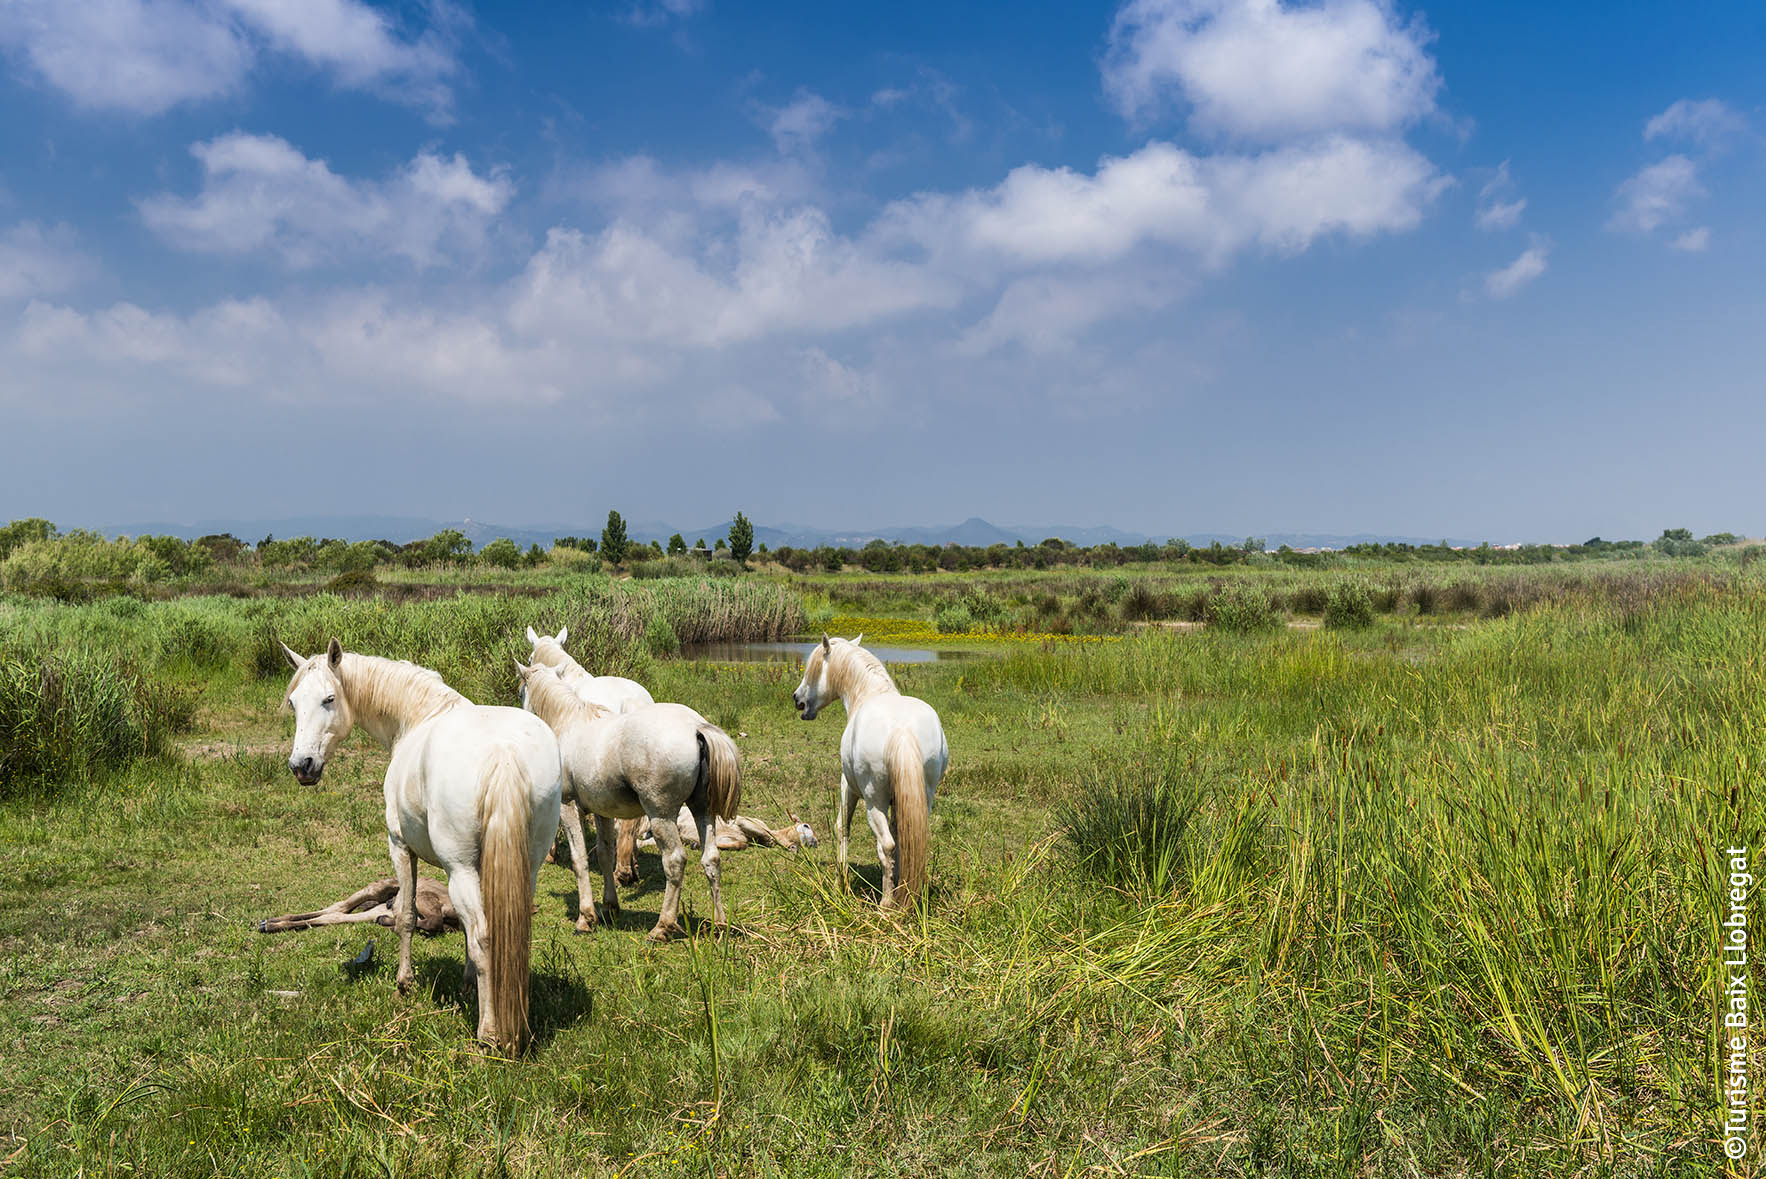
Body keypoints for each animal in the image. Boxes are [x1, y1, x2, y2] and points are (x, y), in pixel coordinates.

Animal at [280, 638, 558, 1051]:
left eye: (329, 699)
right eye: (294, 702)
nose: (302, 766)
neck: (418, 716)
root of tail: (504, 754)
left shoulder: (400, 847)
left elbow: (407, 917)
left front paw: (404, 982)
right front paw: (467, 983)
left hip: (460, 871)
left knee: (484, 937)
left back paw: (490, 1034)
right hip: (528, 867)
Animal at [515, 663, 741, 938]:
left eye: (521, 692)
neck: (568, 724)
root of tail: (696, 726)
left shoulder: (567, 807)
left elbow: (579, 860)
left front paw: (586, 918)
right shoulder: (602, 811)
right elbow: (604, 854)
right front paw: (610, 907)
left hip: (661, 816)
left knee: (675, 860)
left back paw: (662, 927)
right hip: (702, 810)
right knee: (711, 859)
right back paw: (720, 924)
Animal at [794, 635, 946, 910]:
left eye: (814, 668)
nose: (797, 699)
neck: (868, 693)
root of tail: (902, 730)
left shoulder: (848, 787)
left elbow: (842, 828)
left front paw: (840, 885)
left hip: (874, 802)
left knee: (885, 845)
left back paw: (886, 903)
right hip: (925, 796)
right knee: (905, 842)